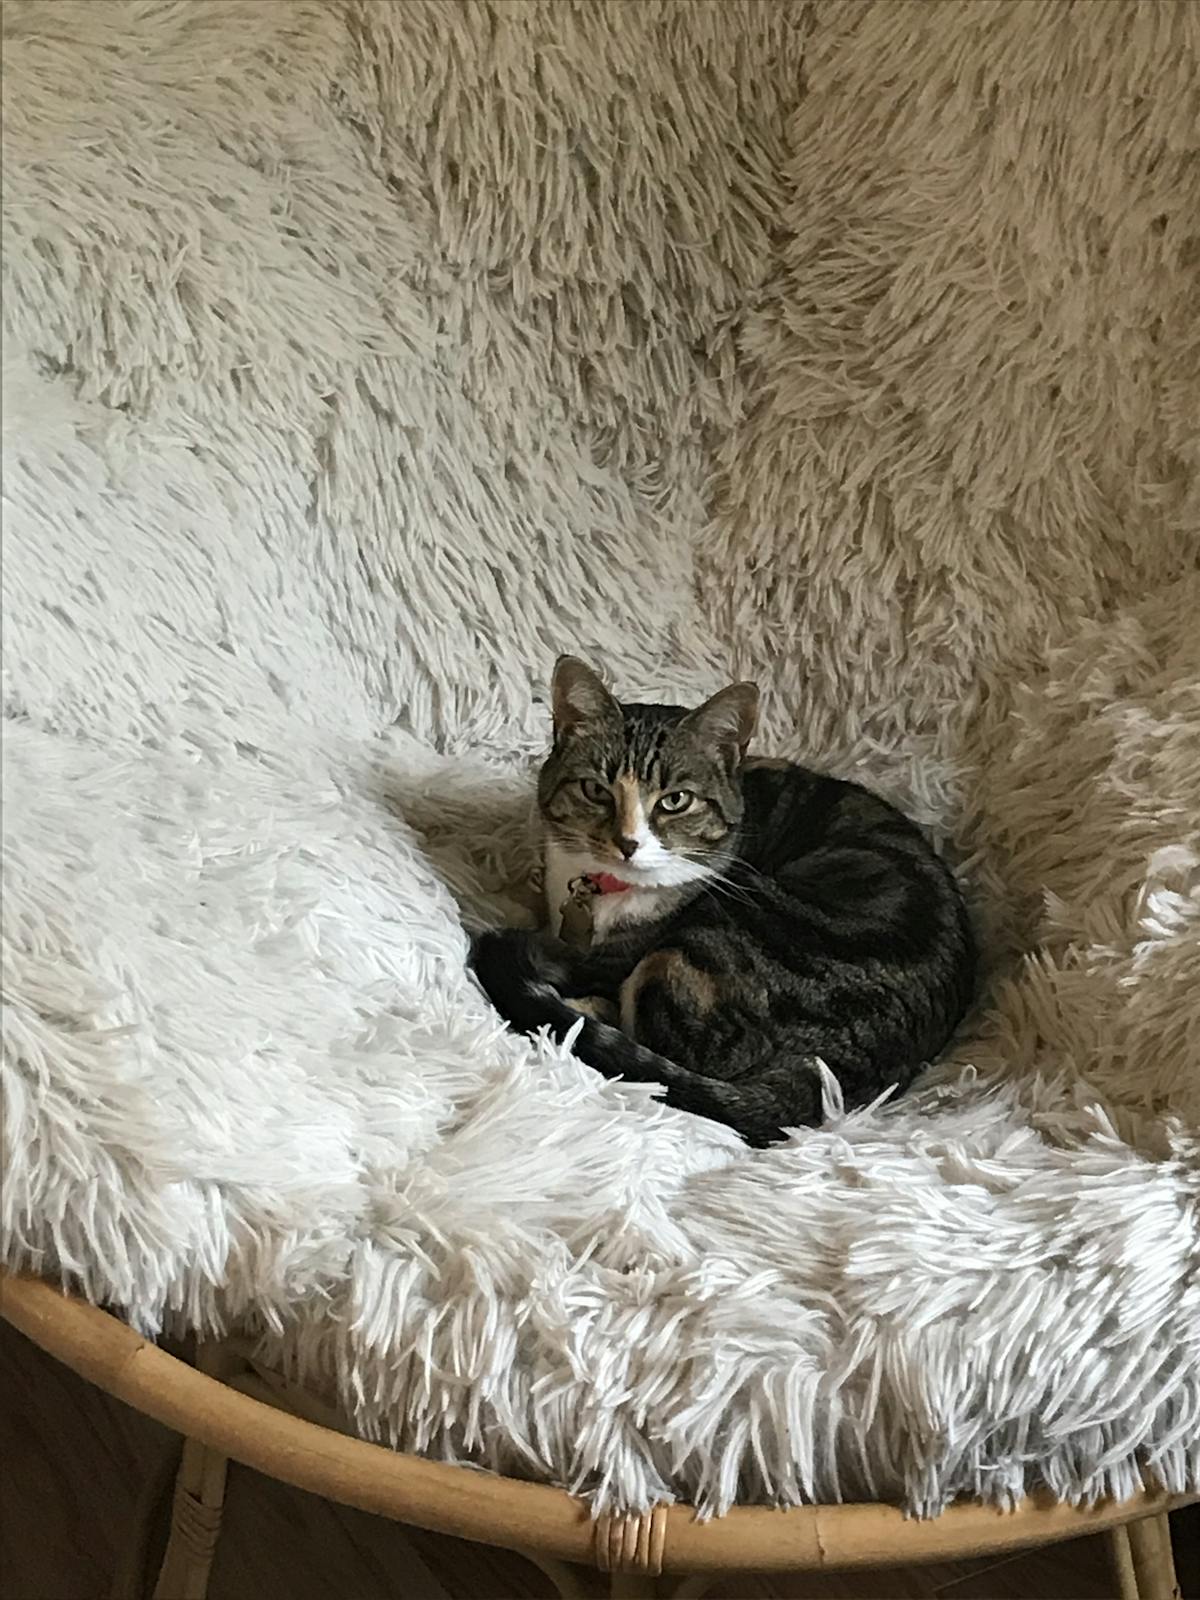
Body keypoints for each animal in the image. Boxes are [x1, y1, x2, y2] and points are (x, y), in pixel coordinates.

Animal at [470, 656, 979, 1145]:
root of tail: (832, 1072)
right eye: (596, 789)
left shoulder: (613, 957)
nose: (628, 843)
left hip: (721, 936)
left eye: (675, 800)